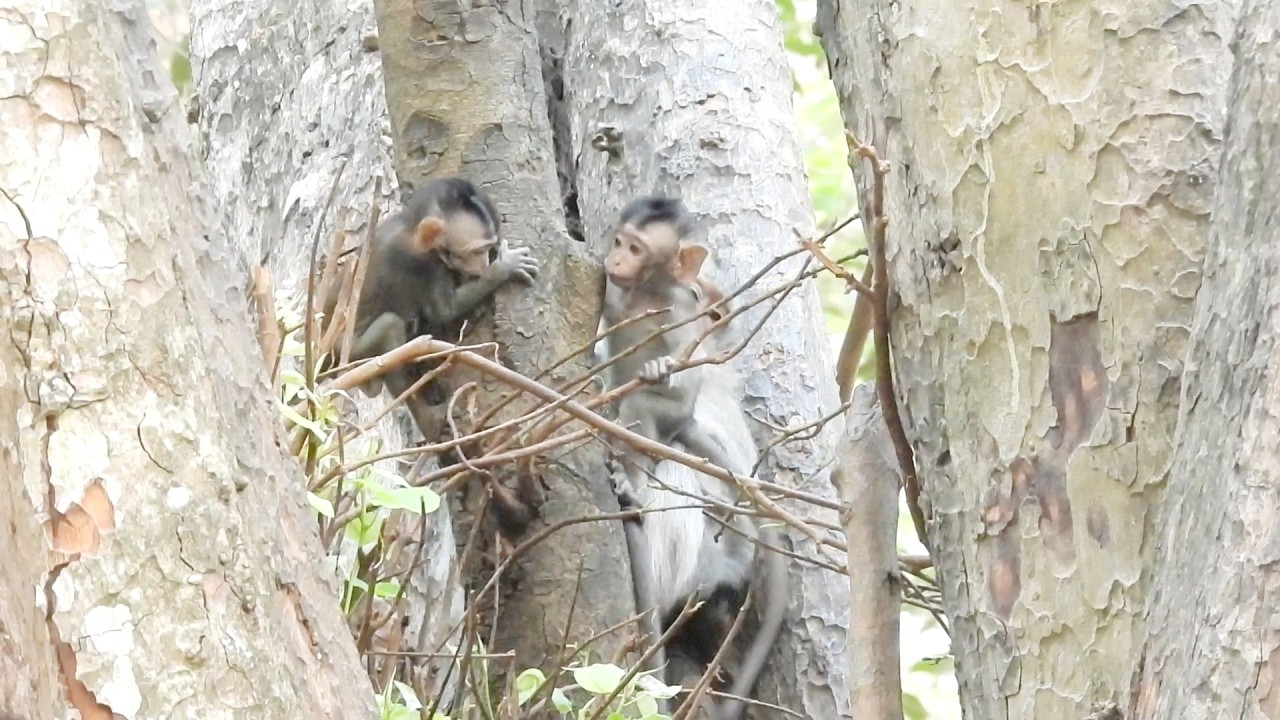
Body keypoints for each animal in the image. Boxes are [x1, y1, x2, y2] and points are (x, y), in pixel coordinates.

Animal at [320, 177, 539, 440]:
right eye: (478, 251)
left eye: (488, 249)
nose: (486, 263)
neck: (410, 230)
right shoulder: (426, 264)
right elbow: (444, 311)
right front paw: (504, 268)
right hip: (346, 351)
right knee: (389, 326)